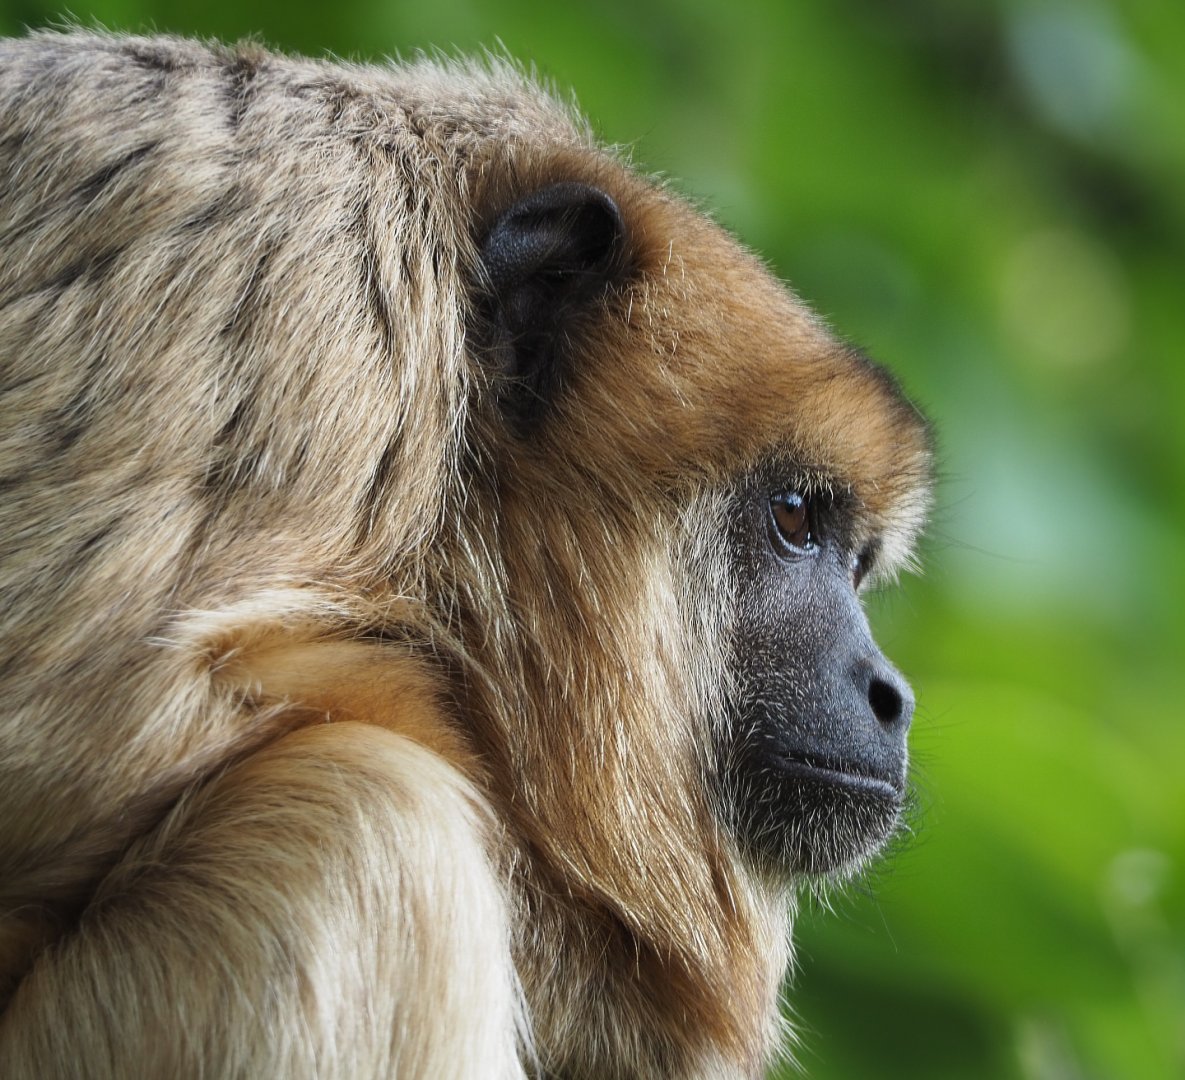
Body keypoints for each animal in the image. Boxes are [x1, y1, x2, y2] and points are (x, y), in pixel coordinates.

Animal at [0, 29, 932, 1080]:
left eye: (857, 563)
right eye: (792, 519)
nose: (890, 695)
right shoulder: (293, 263)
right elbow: (68, 734)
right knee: (373, 819)